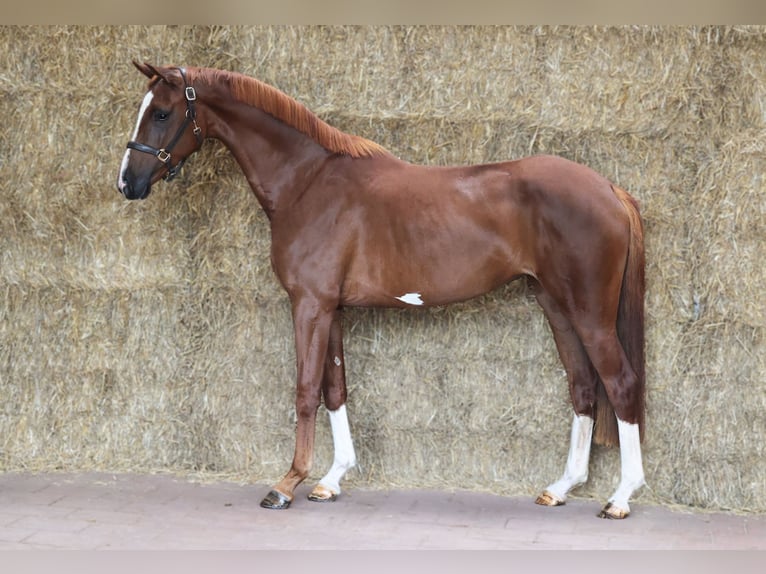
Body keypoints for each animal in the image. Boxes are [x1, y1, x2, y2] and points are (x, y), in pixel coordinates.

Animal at [118, 63, 648, 520]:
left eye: (161, 112)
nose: (128, 182)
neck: (309, 183)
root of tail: (610, 190)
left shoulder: (309, 306)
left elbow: (305, 390)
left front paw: (288, 483)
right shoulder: (331, 308)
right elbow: (335, 388)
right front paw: (331, 480)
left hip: (590, 315)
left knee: (620, 383)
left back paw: (621, 497)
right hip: (556, 306)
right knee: (583, 386)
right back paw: (561, 488)